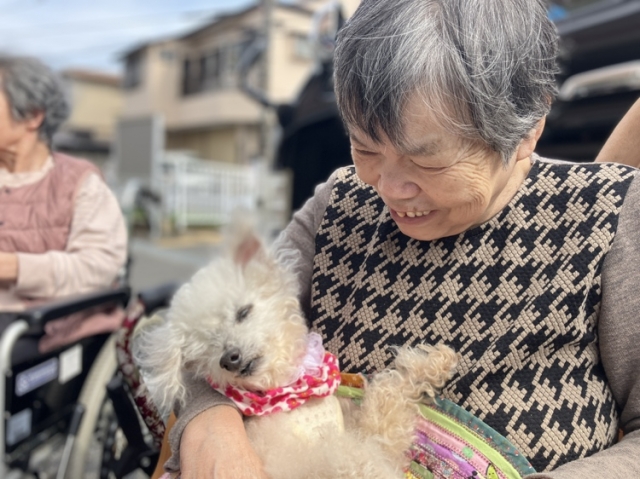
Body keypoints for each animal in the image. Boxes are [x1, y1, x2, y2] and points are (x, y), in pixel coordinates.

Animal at [135, 223, 458, 478]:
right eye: (205, 347)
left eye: (242, 312)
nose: (229, 358)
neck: (290, 390)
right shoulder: (308, 460)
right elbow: (359, 459)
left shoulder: (364, 428)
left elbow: (387, 397)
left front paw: (437, 362)